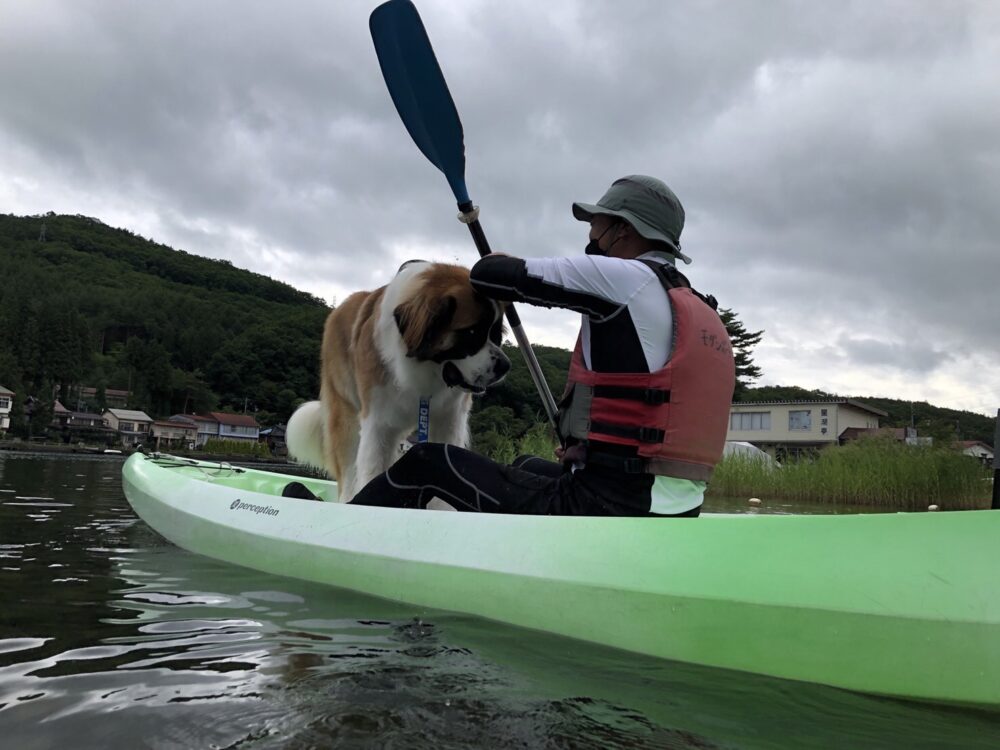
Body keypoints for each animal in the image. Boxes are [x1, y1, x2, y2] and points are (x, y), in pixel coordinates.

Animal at [288, 262, 508, 502]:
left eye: (496, 334)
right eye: (471, 332)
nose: (505, 366)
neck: (426, 370)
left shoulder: (449, 419)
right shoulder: (378, 422)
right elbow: (371, 469)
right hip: (346, 415)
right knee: (348, 468)